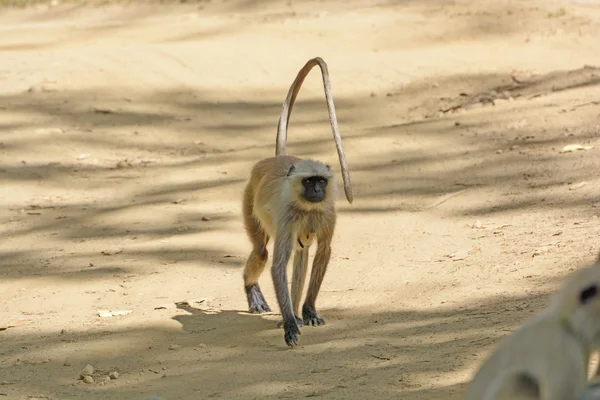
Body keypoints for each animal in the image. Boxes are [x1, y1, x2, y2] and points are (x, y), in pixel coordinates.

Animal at [241, 56, 352, 346]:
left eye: (321, 181)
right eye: (309, 182)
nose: (317, 191)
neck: (309, 207)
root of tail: (275, 159)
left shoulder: (328, 213)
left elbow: (323, 251)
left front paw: (308, 311)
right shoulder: (288, 216)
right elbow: (278, 264)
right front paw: (290, 324)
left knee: (302, 255)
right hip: (249, 199)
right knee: (262, 251)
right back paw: (257, 294)